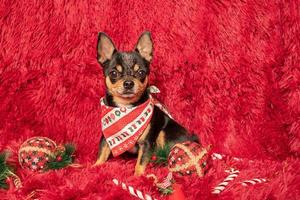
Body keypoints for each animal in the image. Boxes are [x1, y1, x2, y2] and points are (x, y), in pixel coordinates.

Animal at [95, 31, 198, 175]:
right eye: (114, 73)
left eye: (141, 72)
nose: (128, 83)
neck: (126, 108)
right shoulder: (106, 138)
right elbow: (102, 154)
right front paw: (93, 167)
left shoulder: (147, 143)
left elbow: (140, 163)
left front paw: (138, 177)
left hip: (163, 133)